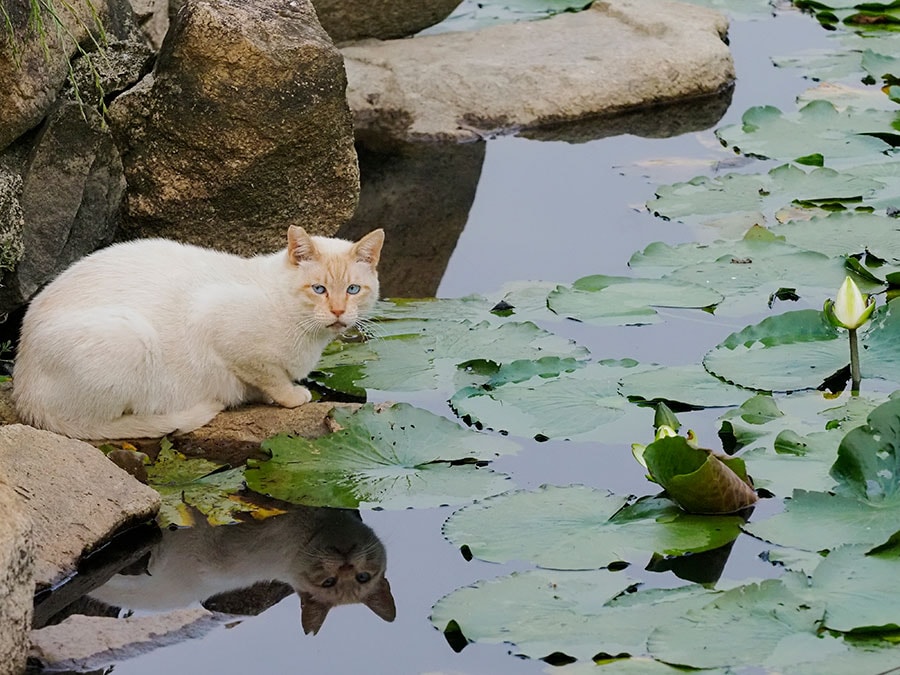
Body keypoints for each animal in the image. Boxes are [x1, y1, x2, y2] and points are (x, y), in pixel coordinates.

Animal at [12, 226, 384, 438]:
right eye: (319, 289)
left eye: (353, 290)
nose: (338, 312)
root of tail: (22, 392)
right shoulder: (219, 325)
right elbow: (270, 376)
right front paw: (292, 395)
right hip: (131, 337)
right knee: (97, 426)